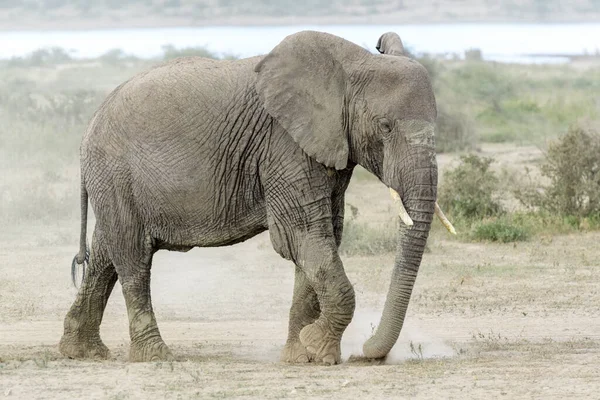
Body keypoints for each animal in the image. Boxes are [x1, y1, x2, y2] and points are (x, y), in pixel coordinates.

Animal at [59, 30, 454, 366]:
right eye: (385, 127)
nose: (368, 353)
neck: (353, 63)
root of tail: (90, 125)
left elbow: (321, 241)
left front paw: (302, 356)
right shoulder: (284, 147)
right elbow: (303, 235)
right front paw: (319, 349)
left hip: (112, 180)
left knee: (106, 253)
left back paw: (82, 352)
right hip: (115, 171)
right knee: (133, 256)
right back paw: (155, 356)